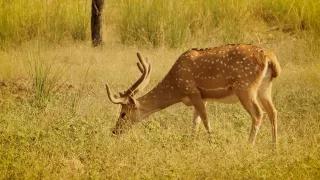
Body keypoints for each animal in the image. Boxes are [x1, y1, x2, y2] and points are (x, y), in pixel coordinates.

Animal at [105, 44, 280, 144]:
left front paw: (211, 142)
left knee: (258, 113)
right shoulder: (202, 96)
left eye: (123, 113)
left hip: (245, 87)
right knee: (273, 111)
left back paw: (249, 144)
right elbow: (195, 122)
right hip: (265, 87)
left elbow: (205, 120)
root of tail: (270, 58)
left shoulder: (193, 91)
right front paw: (191, 143)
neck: (176, 87)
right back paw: (274, 147)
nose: (115, 131)